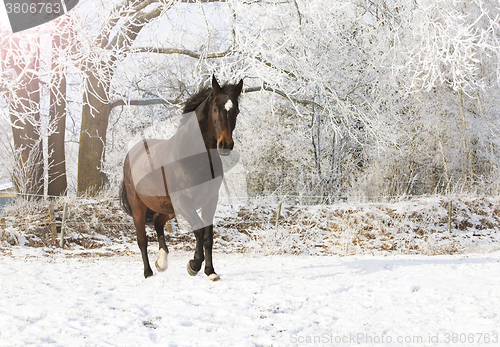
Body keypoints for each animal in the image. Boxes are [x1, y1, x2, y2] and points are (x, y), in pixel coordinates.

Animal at [121, 76, 242, 280]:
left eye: (236, 110)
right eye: (215, 109)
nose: (225, 145)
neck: (193, 158)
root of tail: (131, 154)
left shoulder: (210, 201)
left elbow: (208, 236)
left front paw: (210, 271)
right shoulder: (184, 201)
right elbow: (199, 230)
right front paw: (194, 265)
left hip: (167, 207)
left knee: (158, 222)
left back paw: (161, 262)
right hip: (139, 206)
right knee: (142, 239)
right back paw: (148, 272)